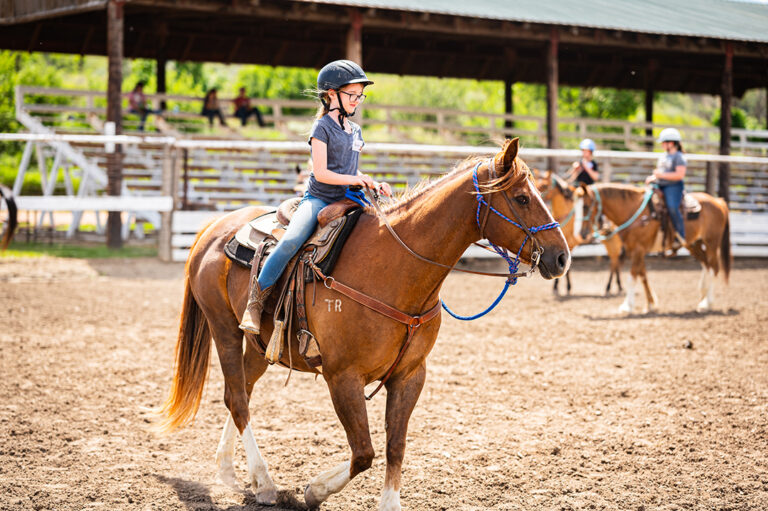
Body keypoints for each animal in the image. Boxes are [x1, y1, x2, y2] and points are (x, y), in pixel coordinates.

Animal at [154, 138, 568, 510]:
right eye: (522, 198)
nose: (562, 257)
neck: (395, 268)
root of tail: (214, 226)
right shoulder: (343, 377)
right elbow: (364, 452)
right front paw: (314, 491)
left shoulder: (411, 375)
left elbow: (395, 445)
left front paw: (388, 503)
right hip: (224, 328)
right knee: (237, 399)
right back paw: (265, 483)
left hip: (261, 346)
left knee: (241, 391)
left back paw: (231, 472)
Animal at [580, 182, 728, 314]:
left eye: (586, 206)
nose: (582, 233)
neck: (634, 212)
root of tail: (718, 201)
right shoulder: (636, 250)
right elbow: (643, 276)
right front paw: (651, 304)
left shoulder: (638, 249)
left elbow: (632, 278)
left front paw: (627, 306)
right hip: (693, 244)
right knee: (706, 265)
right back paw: (703, 297)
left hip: (711, 242)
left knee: (714, 268)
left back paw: (708, 303)